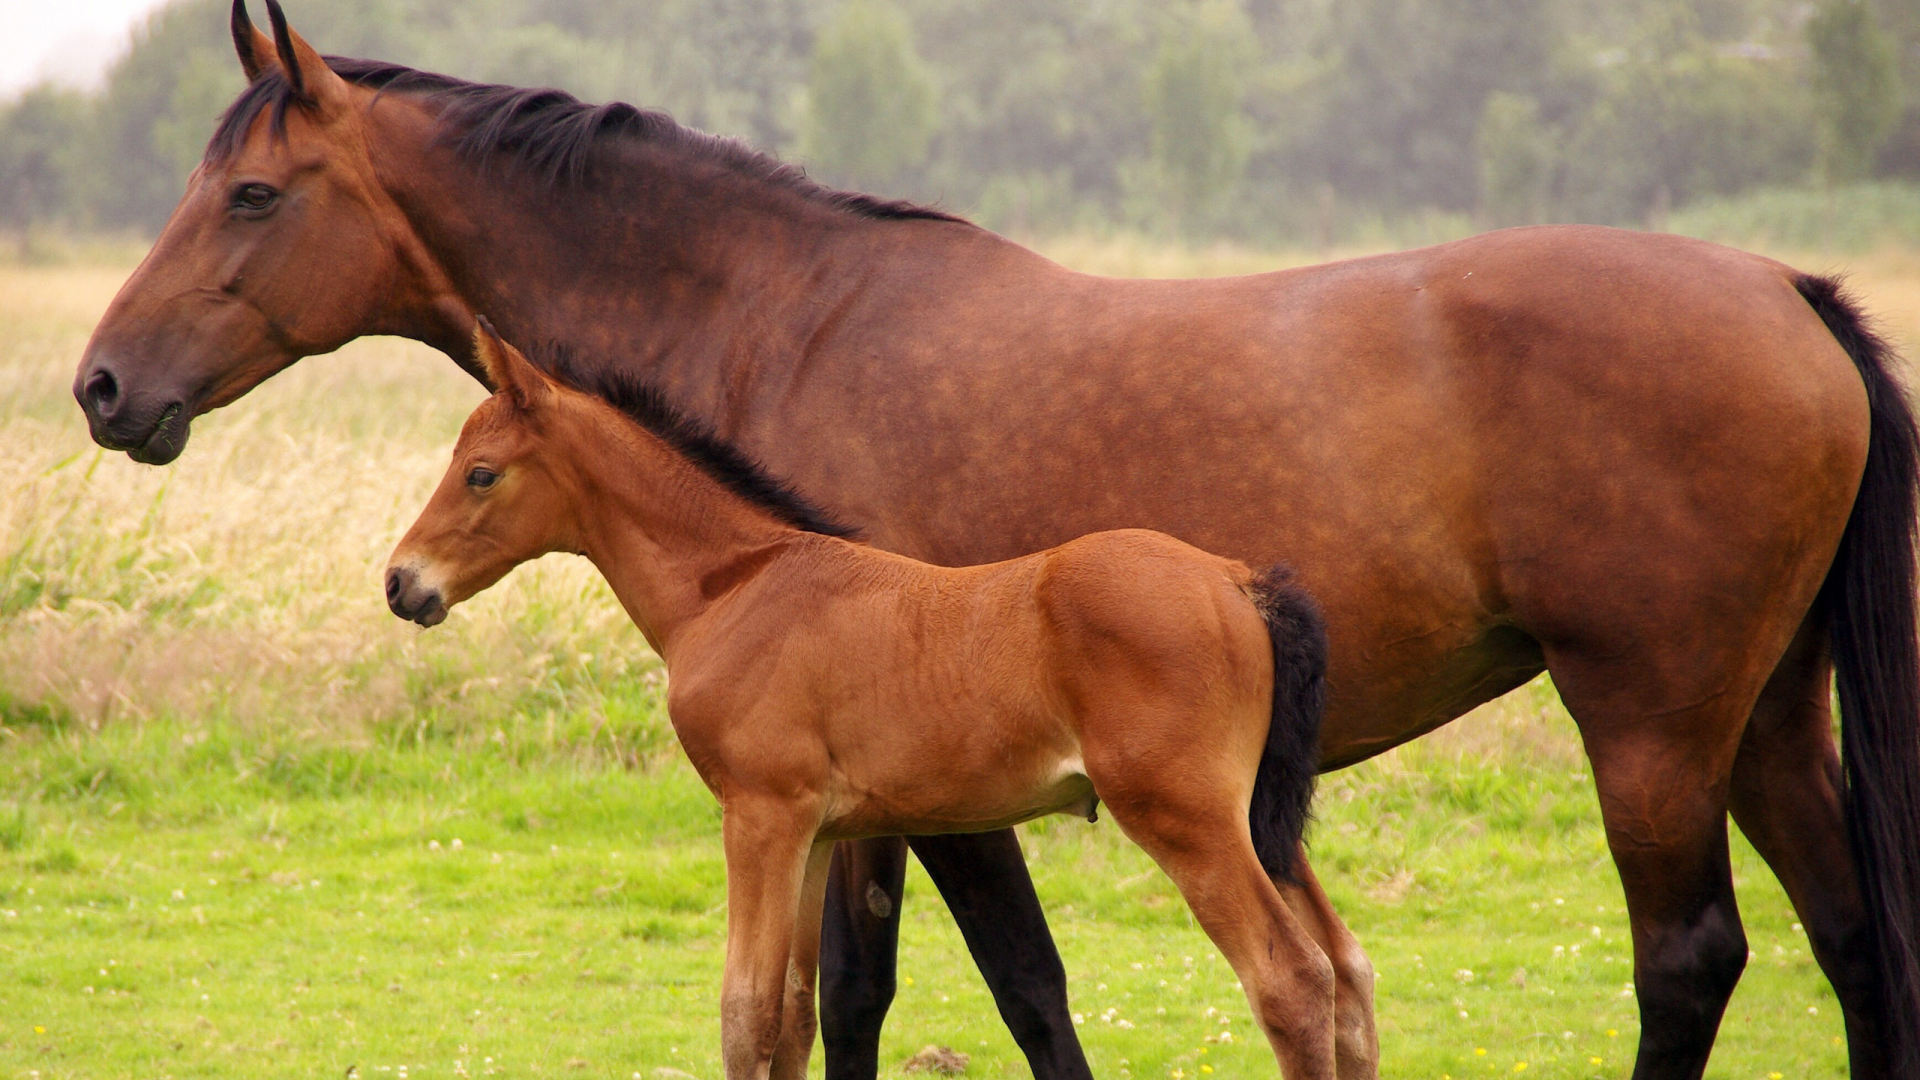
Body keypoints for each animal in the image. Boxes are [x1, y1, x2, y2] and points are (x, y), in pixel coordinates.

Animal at [385, 322, 1351, 1076]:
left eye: (480, 473)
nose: (401, 582)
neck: (735, 585)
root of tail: (1238, 581)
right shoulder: (815, 833)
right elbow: (791, 1018)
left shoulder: (760, 815)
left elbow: (744, 1015)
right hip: (1254, 821)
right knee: (1346, 975)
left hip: (1185, 816)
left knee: (1293, 980)